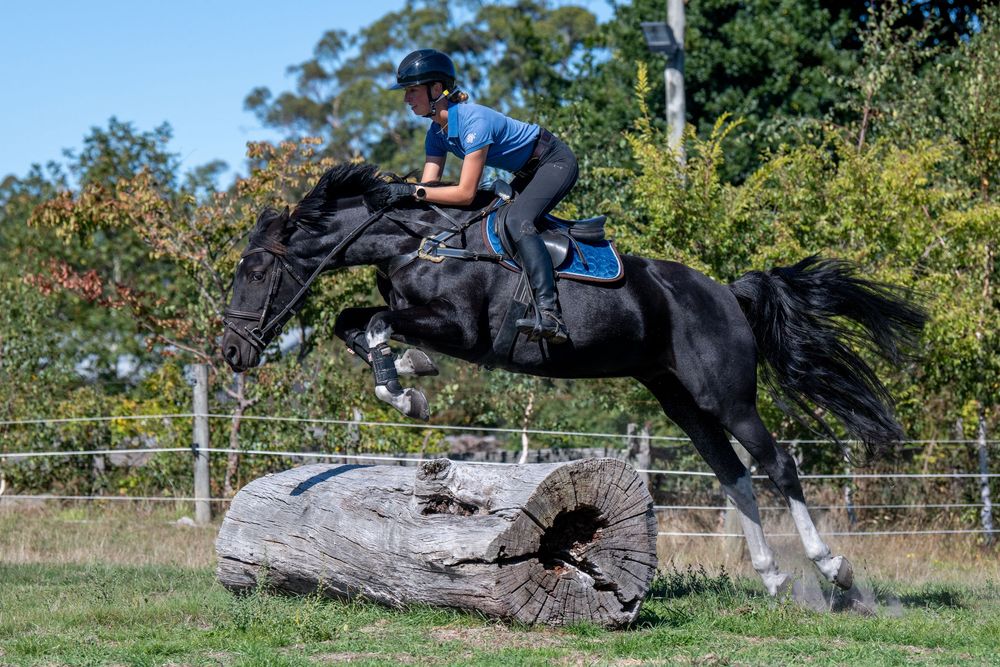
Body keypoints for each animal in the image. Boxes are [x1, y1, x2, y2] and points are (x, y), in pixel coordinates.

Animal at [221, 162, 926, 597]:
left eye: (255, 271)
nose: (231, 351)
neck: (414, 241)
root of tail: (726, 292)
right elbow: (355, 323)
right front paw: (405, 382)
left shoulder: (461, 329)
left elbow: (375, 323)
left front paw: (407, 382)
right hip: (679, 399)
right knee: (733, 474)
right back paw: (772, 578)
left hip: (724, 394)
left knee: (776, 464)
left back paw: (832, 569)